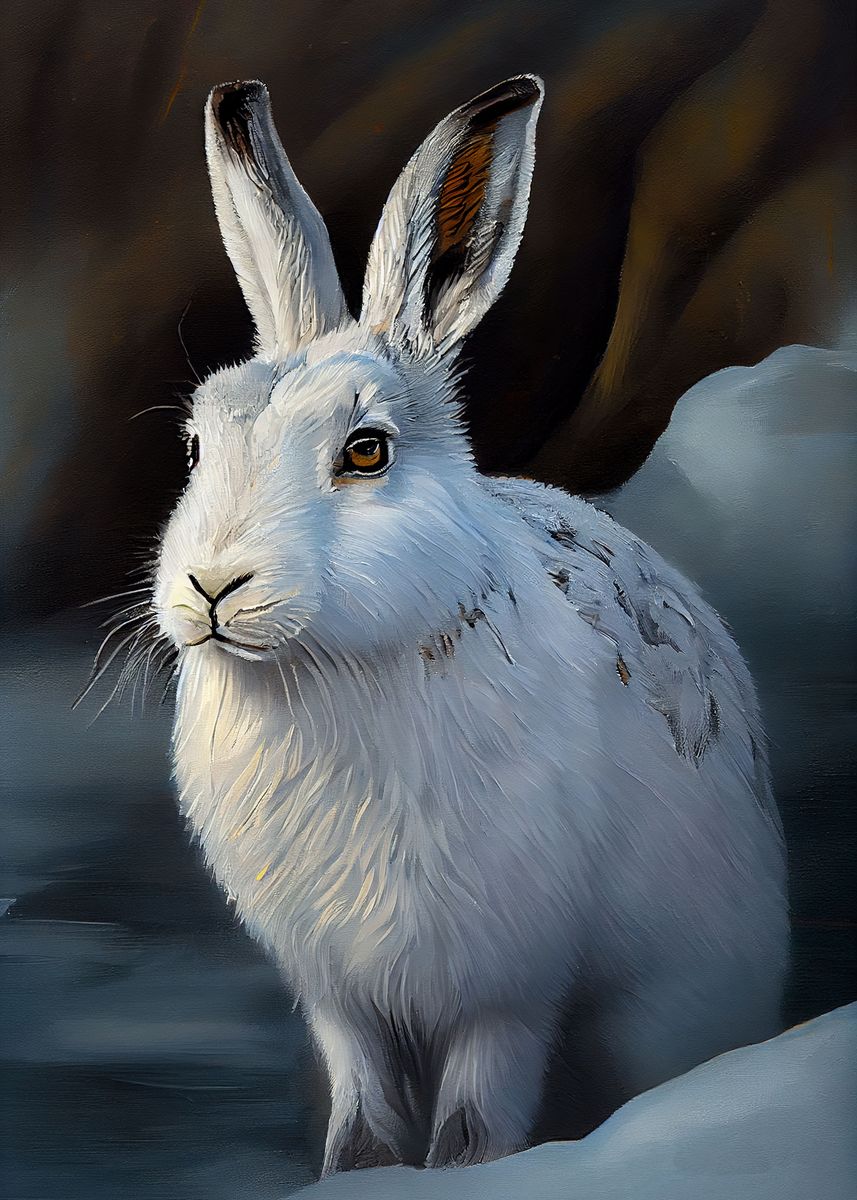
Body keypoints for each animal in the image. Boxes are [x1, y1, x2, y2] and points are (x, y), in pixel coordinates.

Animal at [153, 76, 789, 1175]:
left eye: (366, 451)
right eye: (196, 446)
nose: (212, 586)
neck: (329, 670)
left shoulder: (508, 987)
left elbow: (474, 1119)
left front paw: (463, 1174)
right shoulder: (341, 996)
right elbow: (361, 1108)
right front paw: (351, 1175)